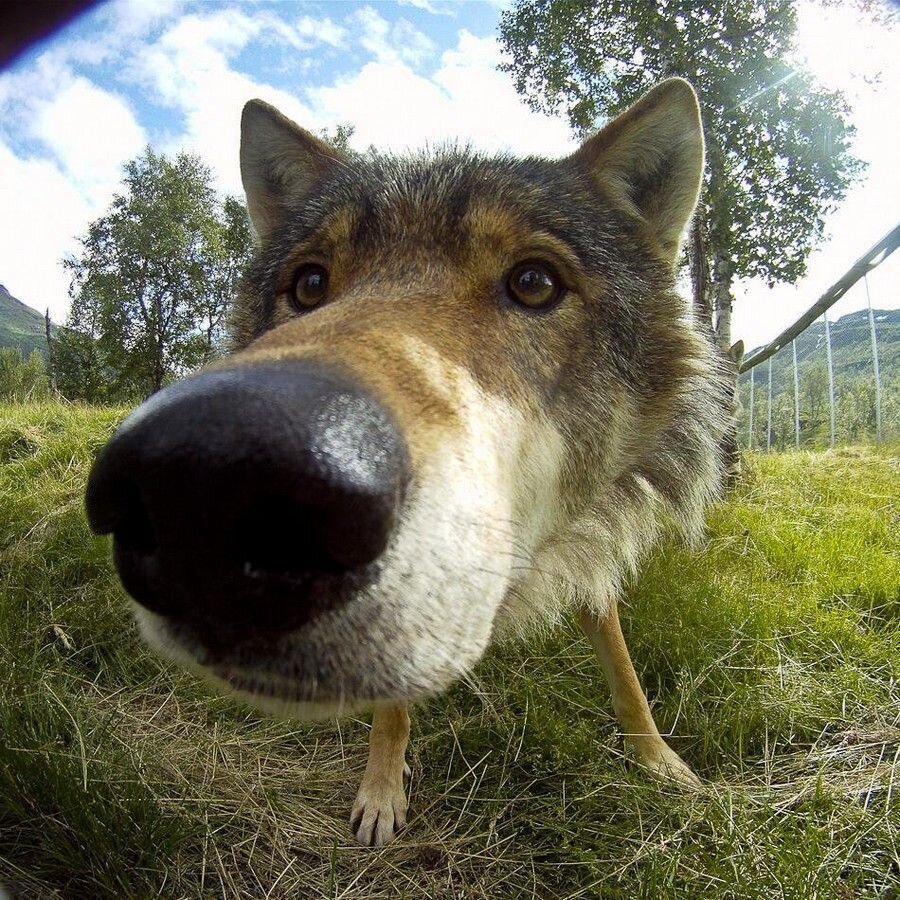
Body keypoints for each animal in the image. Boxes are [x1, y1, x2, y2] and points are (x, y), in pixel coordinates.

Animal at [84, 77, 736, 844]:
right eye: (309, 285)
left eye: (535, 283)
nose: (203, 478)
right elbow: (391, 710)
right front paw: (381, 789)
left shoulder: (590, 542)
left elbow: (622, 663)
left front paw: (658, 762)